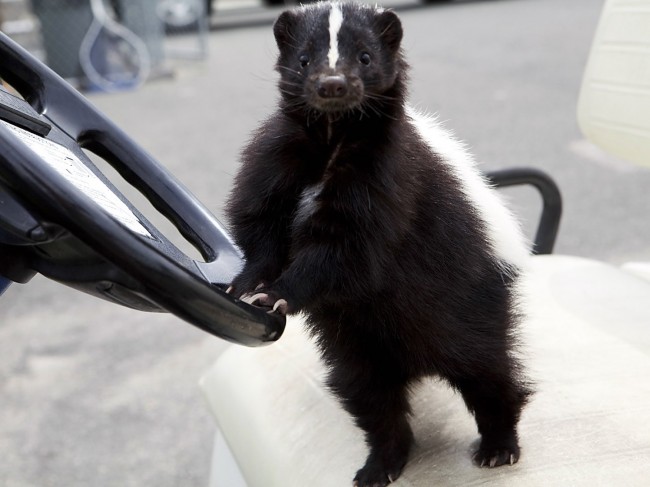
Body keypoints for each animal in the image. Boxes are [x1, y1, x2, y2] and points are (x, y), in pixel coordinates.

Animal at [225, 2, 528, 484]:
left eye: (365, 57)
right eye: (304, 59)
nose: (332, 84)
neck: (331, 138)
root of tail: (415, 363)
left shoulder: (388, 181)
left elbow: (345, 251)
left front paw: (279, 294)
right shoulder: (274, 158)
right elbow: (259, 223)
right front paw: (248, 284)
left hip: (470, 308)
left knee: (488, 373)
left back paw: (499, 446)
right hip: (354, 346)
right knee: (371, 399)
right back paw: (382, 464)